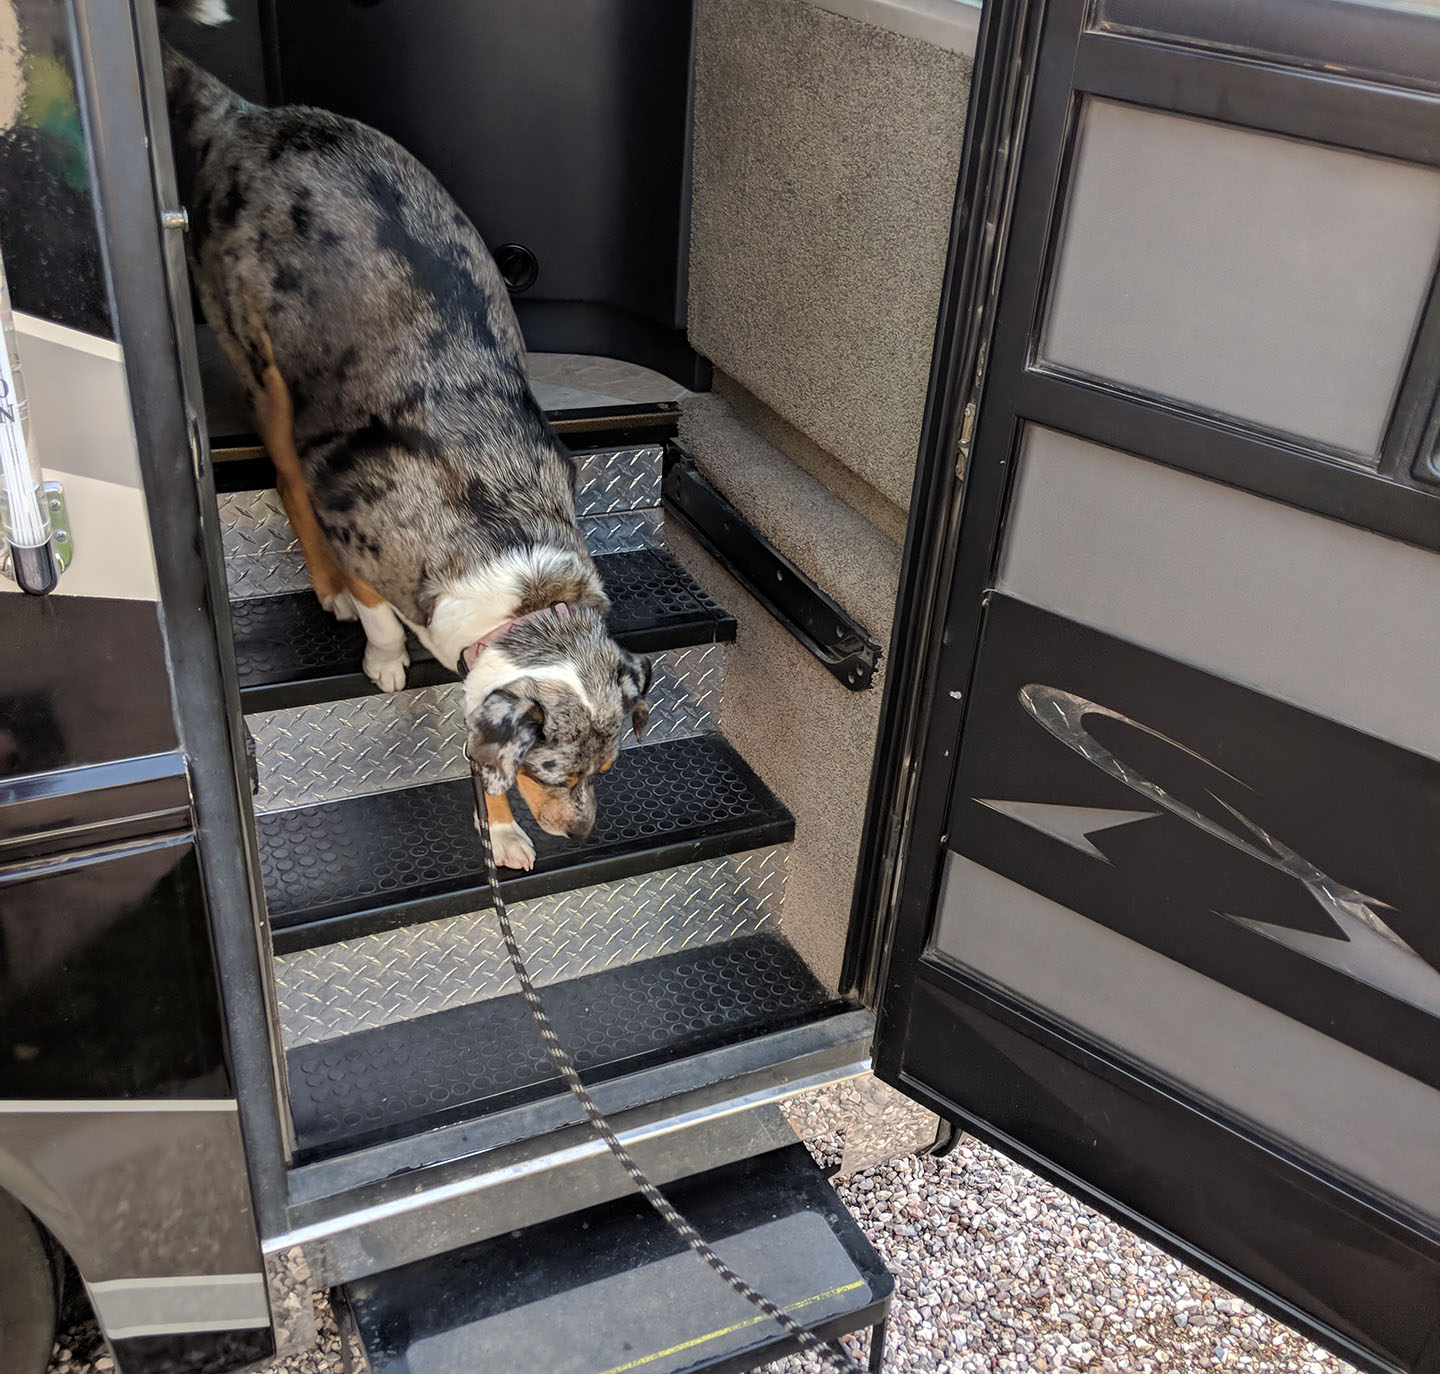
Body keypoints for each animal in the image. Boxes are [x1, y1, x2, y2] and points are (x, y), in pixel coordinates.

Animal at [160, 2, 650, 869]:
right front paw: (385, 659)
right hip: (264, 366)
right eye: (553, 774)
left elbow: (481, 756)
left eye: (607, 768)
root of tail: (247, 116)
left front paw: (500, 830)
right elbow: (384, 617)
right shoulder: (366, 538)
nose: (581, 834)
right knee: (286, 472)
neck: (515, 571)